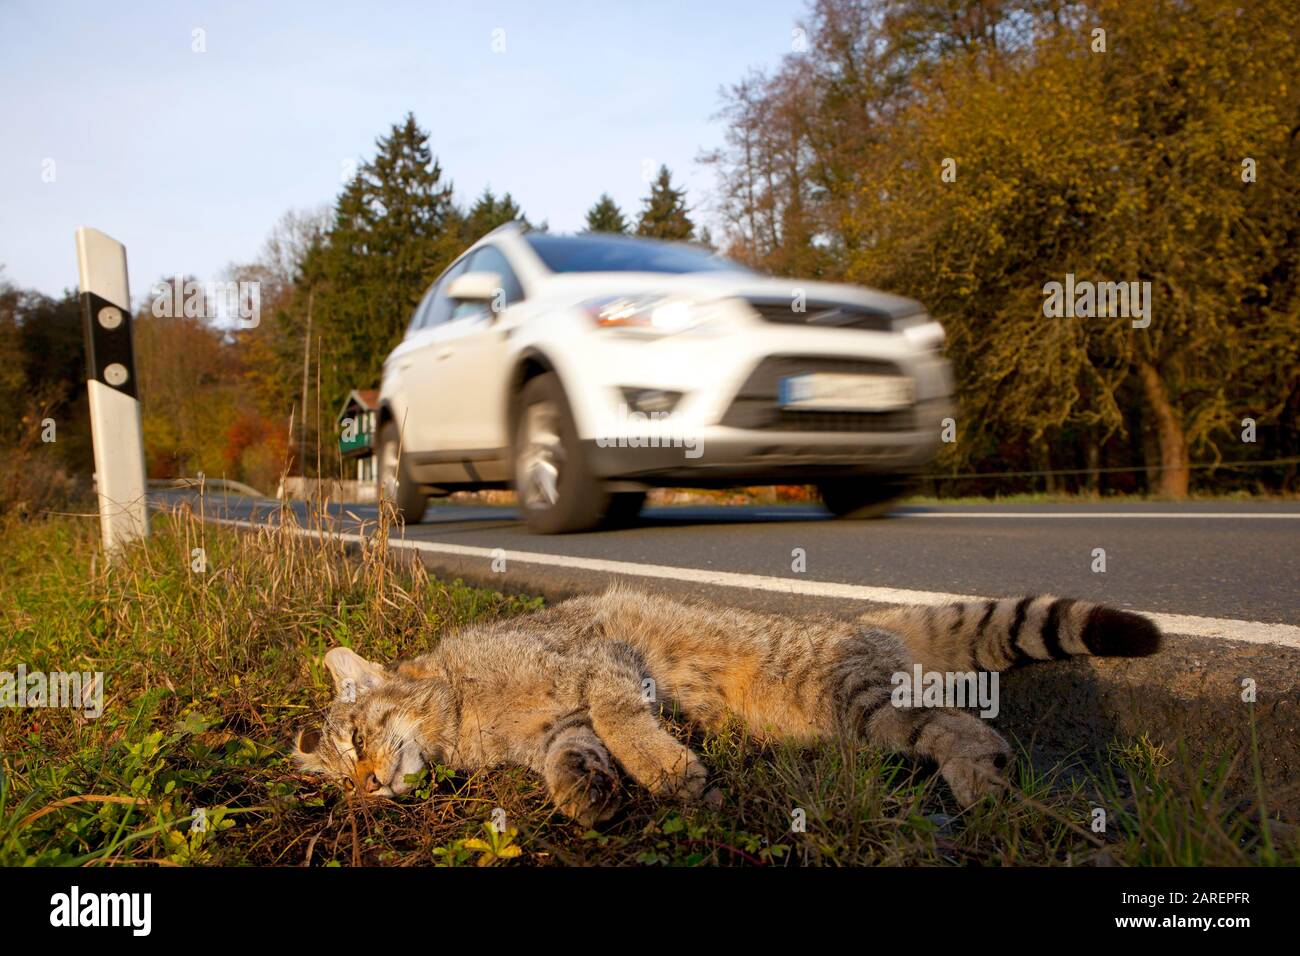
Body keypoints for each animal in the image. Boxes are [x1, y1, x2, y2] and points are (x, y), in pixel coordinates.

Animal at [292, 587, 1159, 827]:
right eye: (338, 780)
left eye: (360, 738)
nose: (368, 787)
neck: (464, 708)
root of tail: (861, 621)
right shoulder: (561, 729)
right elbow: (577, 754)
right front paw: (587, 794)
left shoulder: (605, 662)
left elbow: (622, 722)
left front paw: (666, 772)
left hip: (851, 702)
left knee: (959, 722)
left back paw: (982, 771)